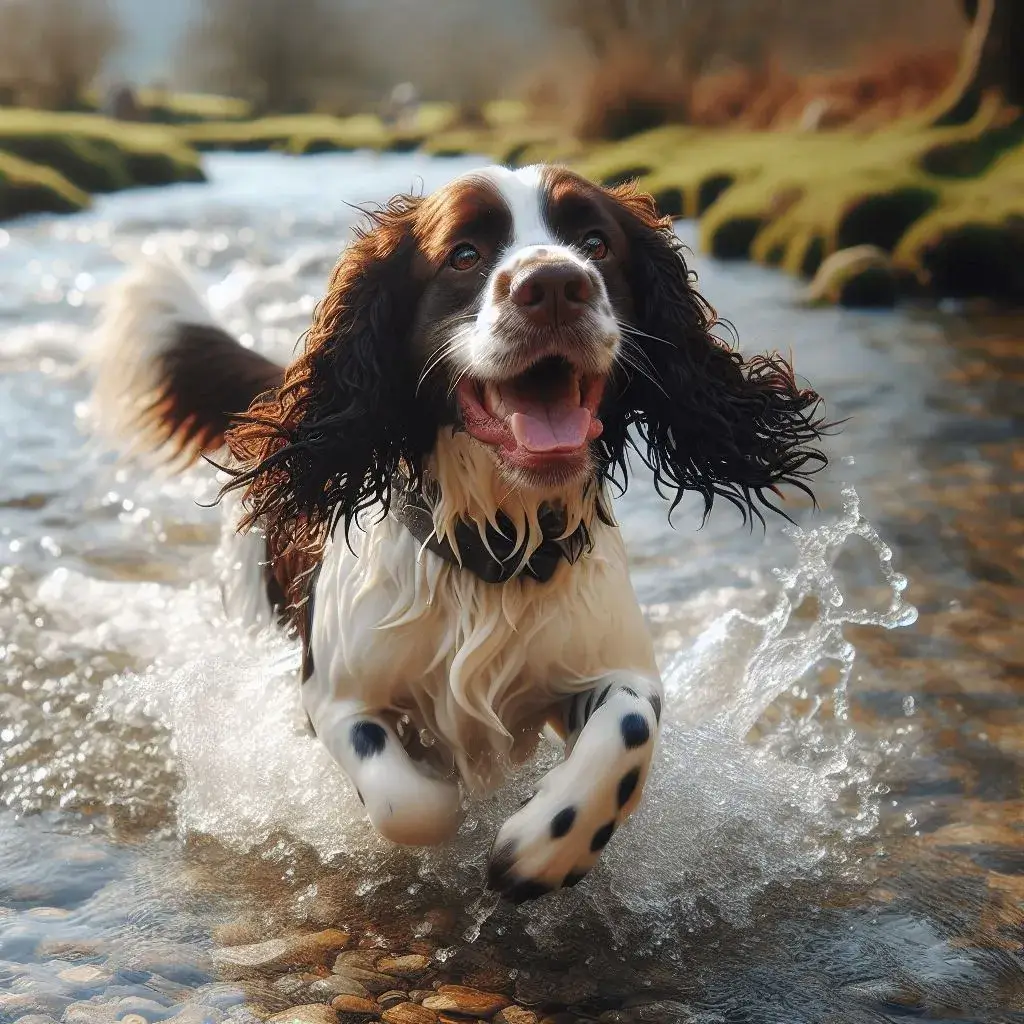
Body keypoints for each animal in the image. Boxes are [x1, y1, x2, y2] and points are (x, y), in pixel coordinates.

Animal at [88, 163, 823, 901]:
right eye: (464, 254)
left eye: (596, 243)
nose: (555, 285)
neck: (497, 541)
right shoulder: (334, 695)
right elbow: (412, 803)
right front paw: (454, 813)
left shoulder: (614, 667)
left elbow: (631, 728)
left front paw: (541, 848)